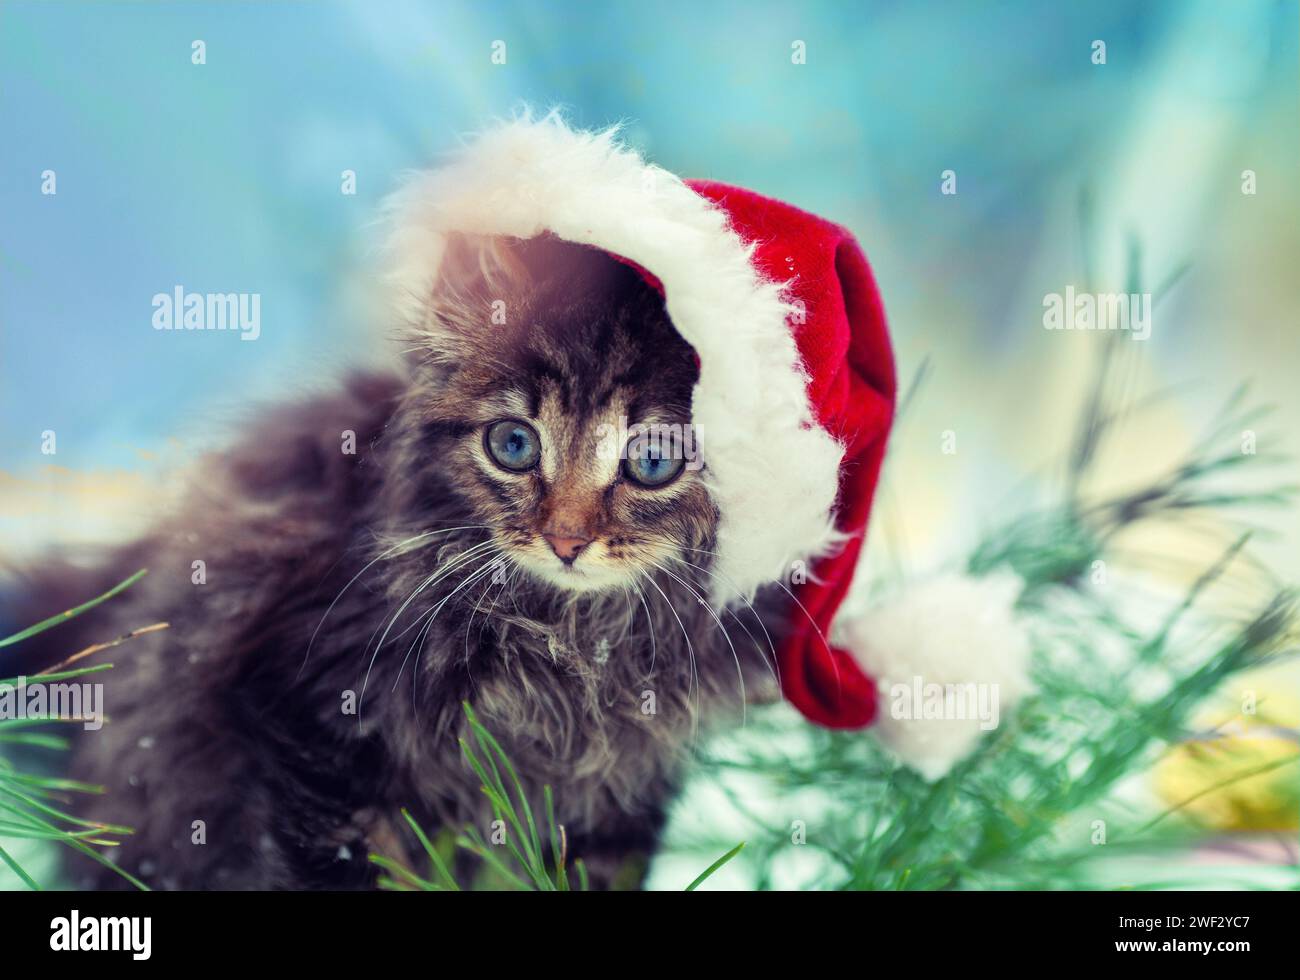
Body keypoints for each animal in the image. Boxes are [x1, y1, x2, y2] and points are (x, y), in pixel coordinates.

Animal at [15, 235, 780, 883]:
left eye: (652, 462)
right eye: (513, 445)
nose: (565, 541)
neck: (573, 639)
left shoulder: (624, 791)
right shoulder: (302, 707)